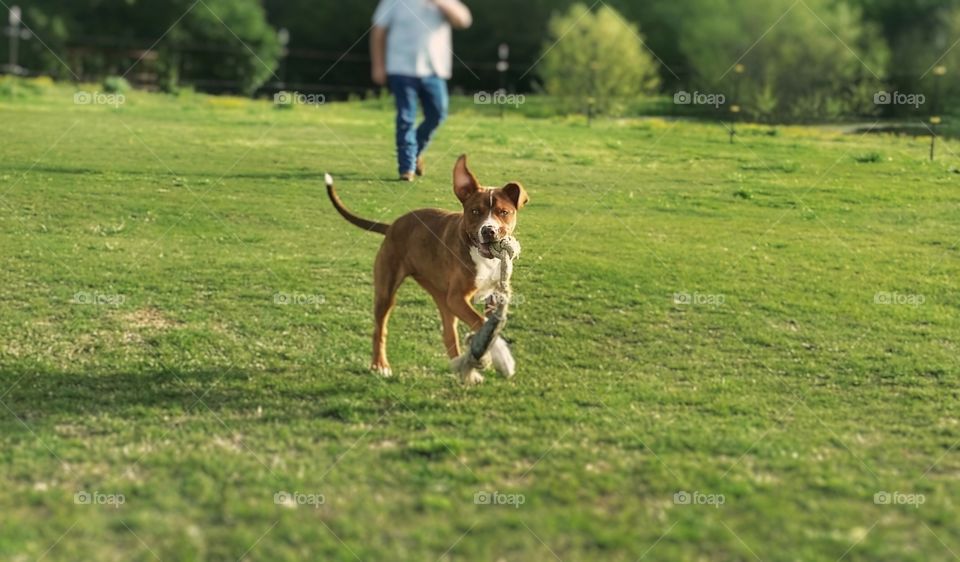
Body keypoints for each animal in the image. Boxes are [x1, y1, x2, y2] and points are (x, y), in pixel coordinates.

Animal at [326, 153, 528, 376]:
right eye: (475, 211)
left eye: (504, 212)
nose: (489, 231)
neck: (483, 258)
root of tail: (392, 226)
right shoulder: (457, 298)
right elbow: (482, 324)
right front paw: (503, 357)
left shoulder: (486, 297)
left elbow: (488, 326)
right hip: (387, 293)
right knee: (380, 329)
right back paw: (380, 365)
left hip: (442, 298)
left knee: (448, 333)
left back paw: (462, 370)